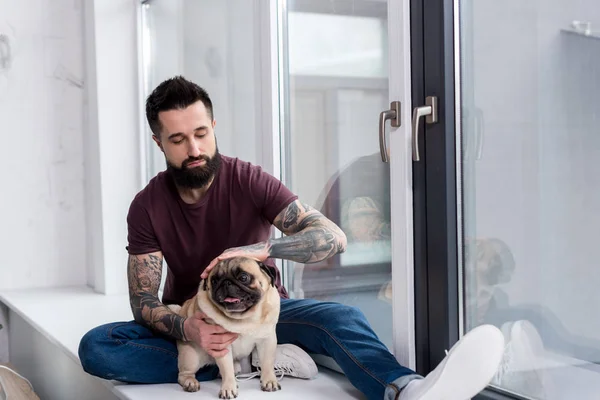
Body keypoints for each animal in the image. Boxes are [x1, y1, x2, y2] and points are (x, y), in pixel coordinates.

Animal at [168, 258, 282, 398]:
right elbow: (226, 369)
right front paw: (228, 389)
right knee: (184, 374)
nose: (226, 282)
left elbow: (267, 363)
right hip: (191, 356)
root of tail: (181, 311)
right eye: (214, 281)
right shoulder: (221, 344)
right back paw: (190, 382)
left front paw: (269, 381)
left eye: (244, 277)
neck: (244, 318)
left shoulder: (267, 341)